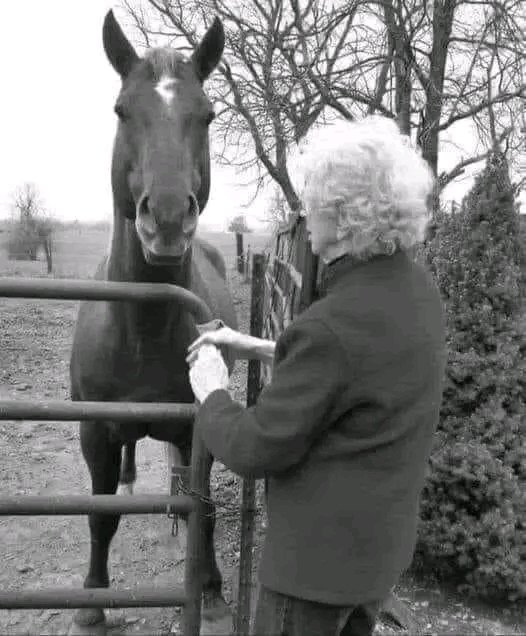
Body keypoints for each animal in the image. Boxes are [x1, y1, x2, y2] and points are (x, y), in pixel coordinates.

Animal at [69, 9, 237, 632]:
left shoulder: (198, 426)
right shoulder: (94, 430)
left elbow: (205, 509)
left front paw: (210, 589)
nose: (166, 219)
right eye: (122, 110)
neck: (140, 331)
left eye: (207, 114)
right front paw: (93, 602)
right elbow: (100, 516)